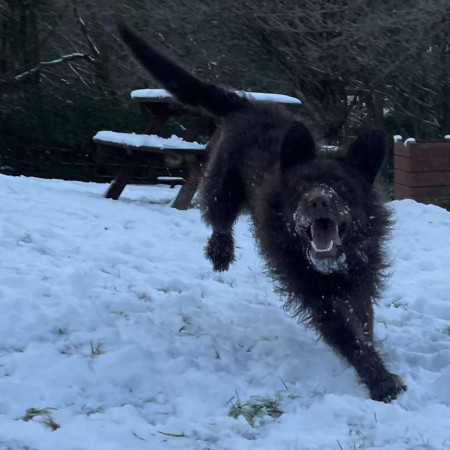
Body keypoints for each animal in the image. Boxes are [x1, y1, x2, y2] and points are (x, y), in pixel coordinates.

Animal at [118, 21, 406, 402]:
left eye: (344, 187)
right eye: (301, 186)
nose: (319, 201)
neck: (335, 262)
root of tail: (246, 102)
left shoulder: (361, 277)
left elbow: (363, 322)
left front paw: (374, 356)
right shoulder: (314, 292)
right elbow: (348, 336)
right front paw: (380, 379)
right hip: (223, 188)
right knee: (218, 220)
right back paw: (220, 251)